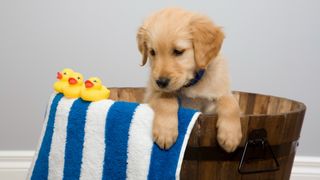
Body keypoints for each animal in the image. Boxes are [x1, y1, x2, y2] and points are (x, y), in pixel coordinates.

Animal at [136, 7, 241, 153]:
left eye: (178, 51)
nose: (161, 82)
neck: (191, 84)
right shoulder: (152, 94)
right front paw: (165, 131)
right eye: (152, 52)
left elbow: (230, 102)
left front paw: (231, 135)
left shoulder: (214, 99)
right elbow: (166, 99)